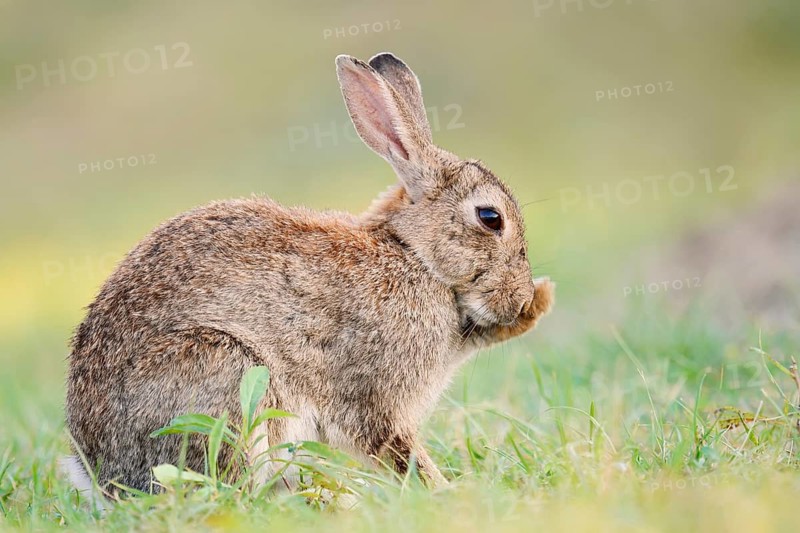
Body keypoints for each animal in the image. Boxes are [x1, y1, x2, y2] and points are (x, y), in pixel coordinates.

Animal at [65, 52, 555, 494]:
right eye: (490, 218)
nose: (517, 297)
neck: (412, 254)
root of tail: (99, 471)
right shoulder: (374, 396)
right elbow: (398, 448)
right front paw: (444, 491)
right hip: (226, 370)